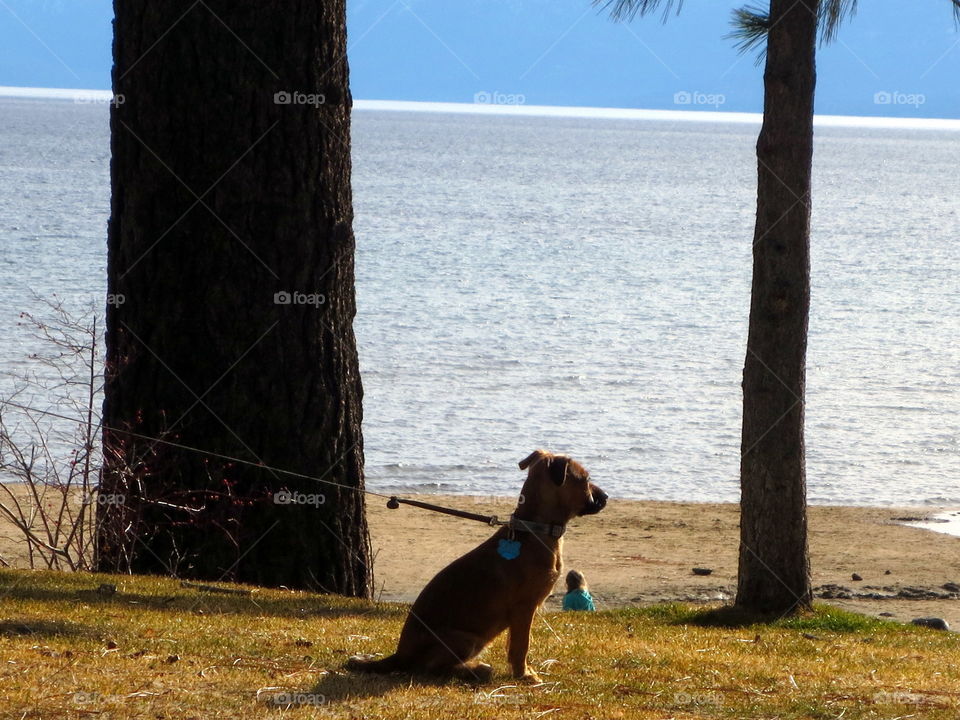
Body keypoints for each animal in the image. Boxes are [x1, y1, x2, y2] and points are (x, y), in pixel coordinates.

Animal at [346, 450, 608, 680]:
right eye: (585, 479)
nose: (606, 497)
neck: (535, 529)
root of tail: (399, 656)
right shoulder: (524, 609)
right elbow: (521, 645)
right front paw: (524, 675)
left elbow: (514, 645)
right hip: (465, 639)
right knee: (429, 669)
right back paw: (476, 670)